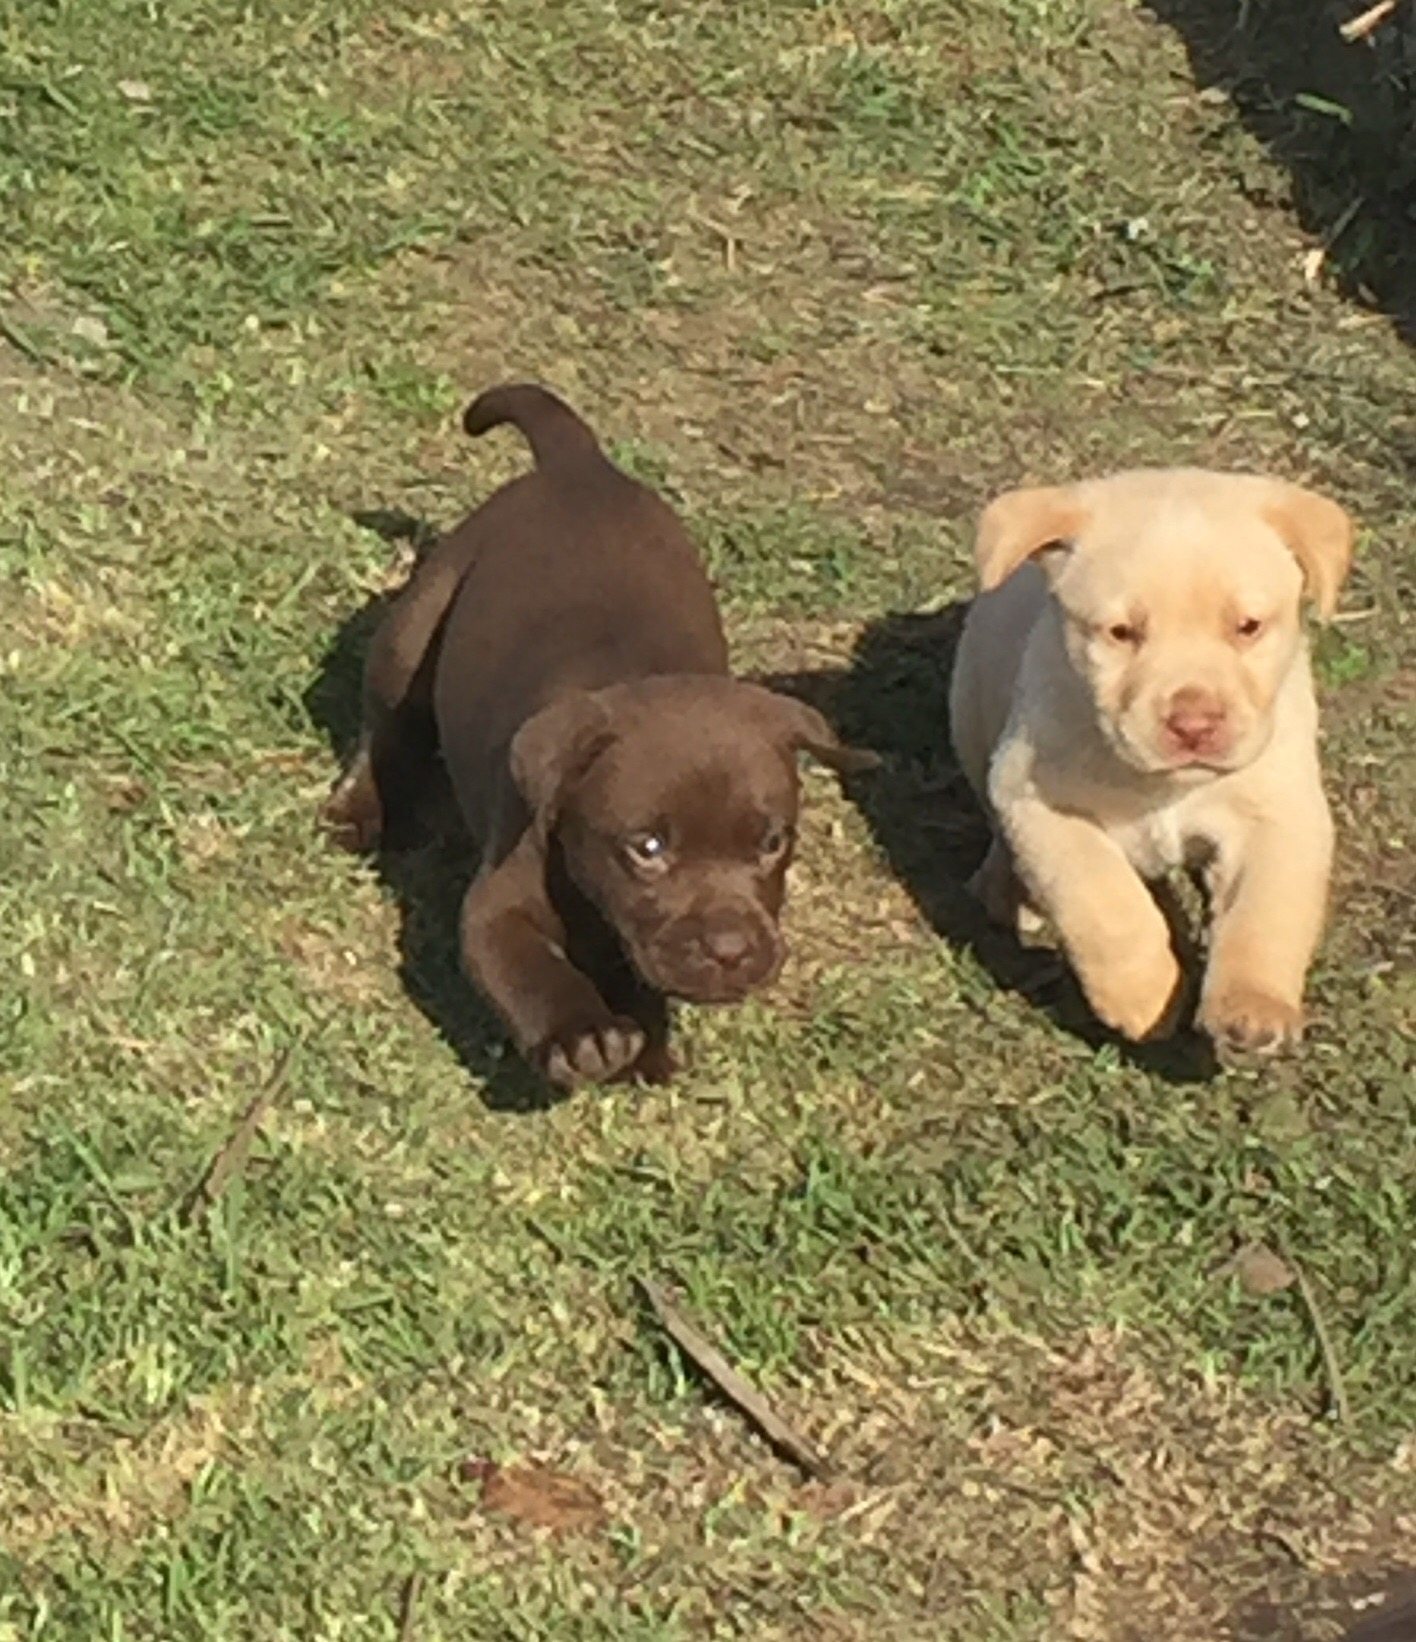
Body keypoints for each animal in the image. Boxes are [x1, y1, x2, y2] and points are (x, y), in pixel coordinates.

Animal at [326, 384, 867, 1090]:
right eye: (648, 847)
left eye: (773, 843)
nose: (730, 951)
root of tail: (580, 464)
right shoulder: (497, 903)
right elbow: (528, 968)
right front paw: (582, 1032)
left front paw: (649, 1035)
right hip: (415, 628)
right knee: (381, 723)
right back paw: (356, 809)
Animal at [952, 466, 1353, 1050]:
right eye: (1121, 633)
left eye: (1248, 627)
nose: (1194, 724)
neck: (1165, 785)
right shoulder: (1039, 801)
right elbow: (1105, 900)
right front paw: (1145, 997)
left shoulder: (1279, 813)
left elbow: (1265, 911)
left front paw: (1253, 1008)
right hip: (972, 721)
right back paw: (1007, 892)